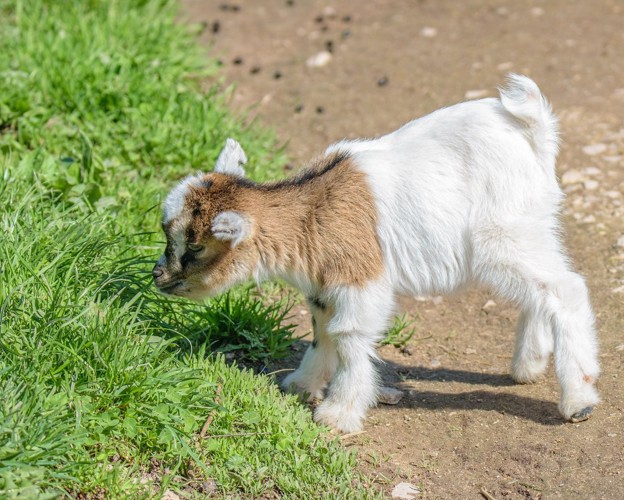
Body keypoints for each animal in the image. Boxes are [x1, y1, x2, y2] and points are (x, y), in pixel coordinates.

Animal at [152, 75, 600, 434]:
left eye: (195, 247)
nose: (158, 276)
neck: (311, 212)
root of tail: (534, 131)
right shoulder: (322, 283)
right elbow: (321, 330)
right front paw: (301, 384)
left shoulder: (359, 277)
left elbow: (347, 337)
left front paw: (338, 414)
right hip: (532, 229)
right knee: (541, 290)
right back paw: (528, 366)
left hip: (504, 236)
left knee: (566, 289)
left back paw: (578, 400)